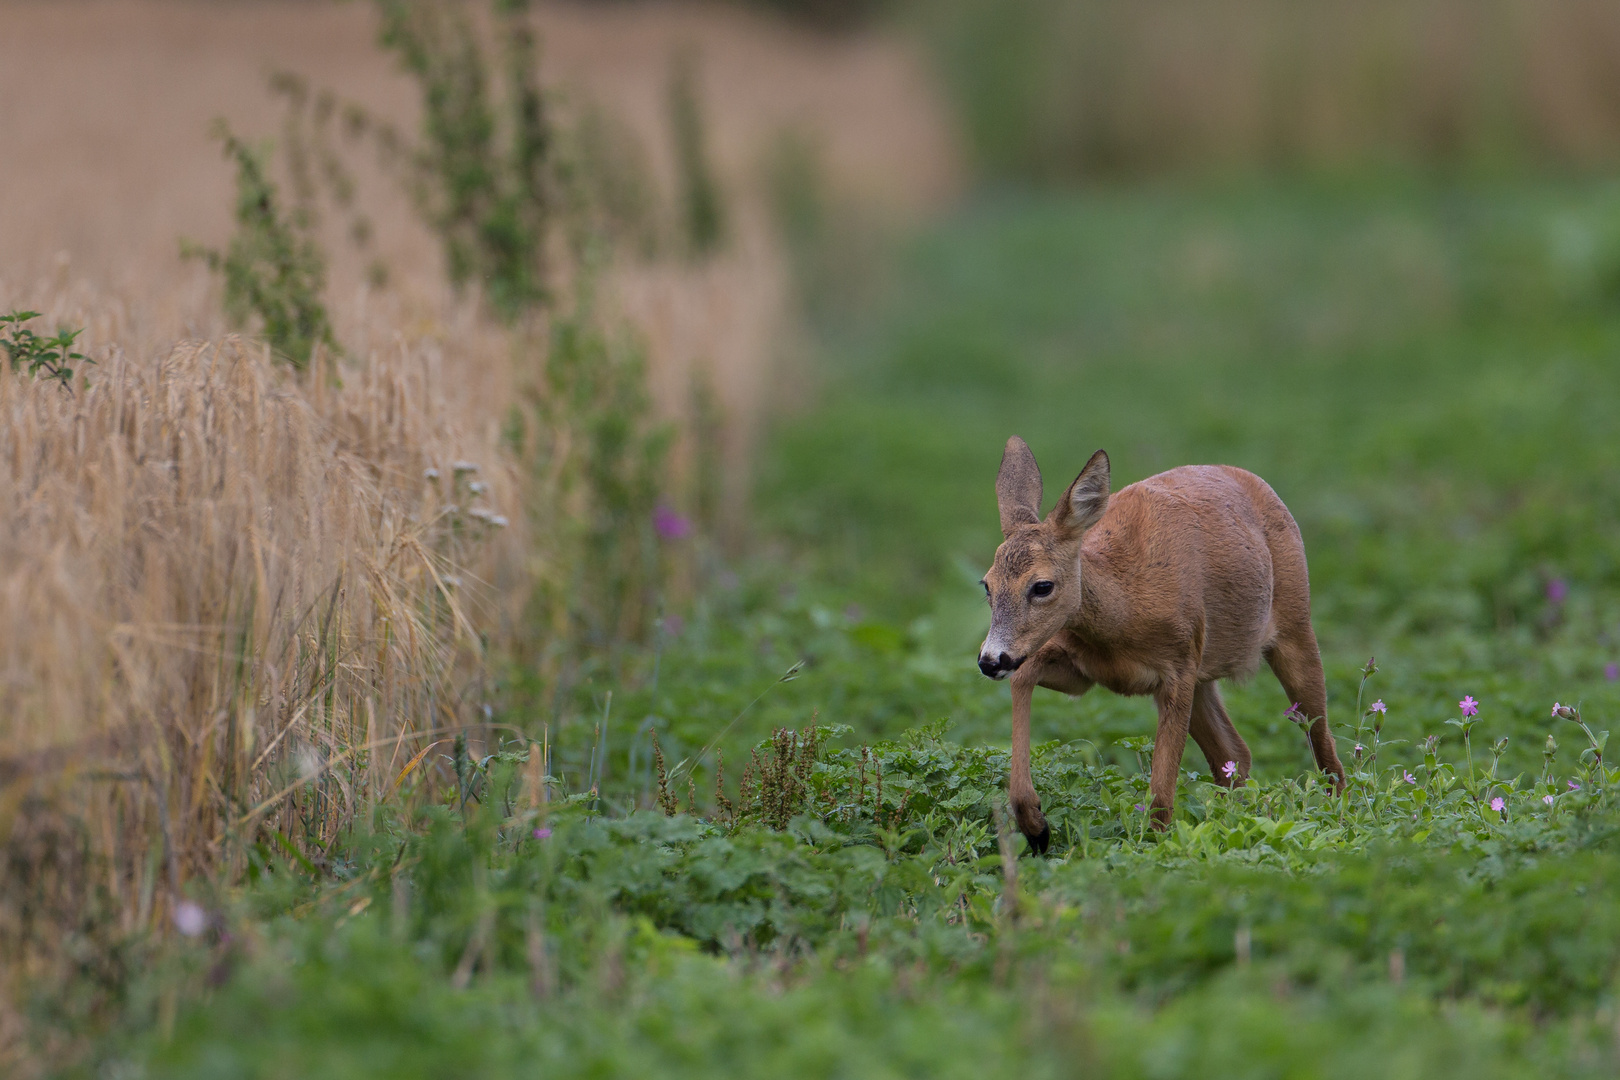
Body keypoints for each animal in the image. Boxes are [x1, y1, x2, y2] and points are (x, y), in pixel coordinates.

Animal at [972, 440, 1341, 854]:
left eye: (1042, 586)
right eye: (987, 585)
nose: (990, 660)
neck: (1124, 613)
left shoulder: (1177, 667)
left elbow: (1162, 791)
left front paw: (1154, 847)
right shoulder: (1082, 670)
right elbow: (1022, 680)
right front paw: (1035, 824)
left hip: (1294, 623)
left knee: (1324, 746)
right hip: (1204, 672)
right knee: (1234, 754)